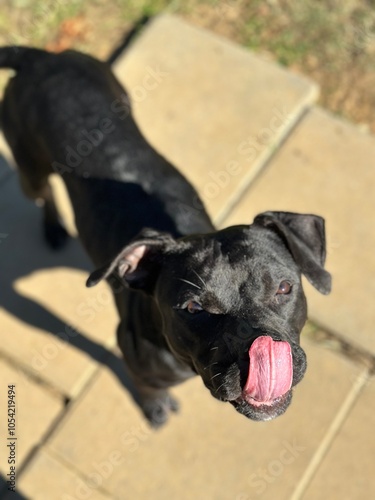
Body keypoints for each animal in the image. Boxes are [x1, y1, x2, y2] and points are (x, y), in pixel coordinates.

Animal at [0, 46, 332, 426]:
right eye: (193, 308)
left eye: (284, 288)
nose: (262, 353)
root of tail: (41, 57)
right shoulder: (134, 355)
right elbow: (147, 387)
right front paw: (155, 407)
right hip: (30, 169)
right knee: (43, 192)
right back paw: (54, 227)